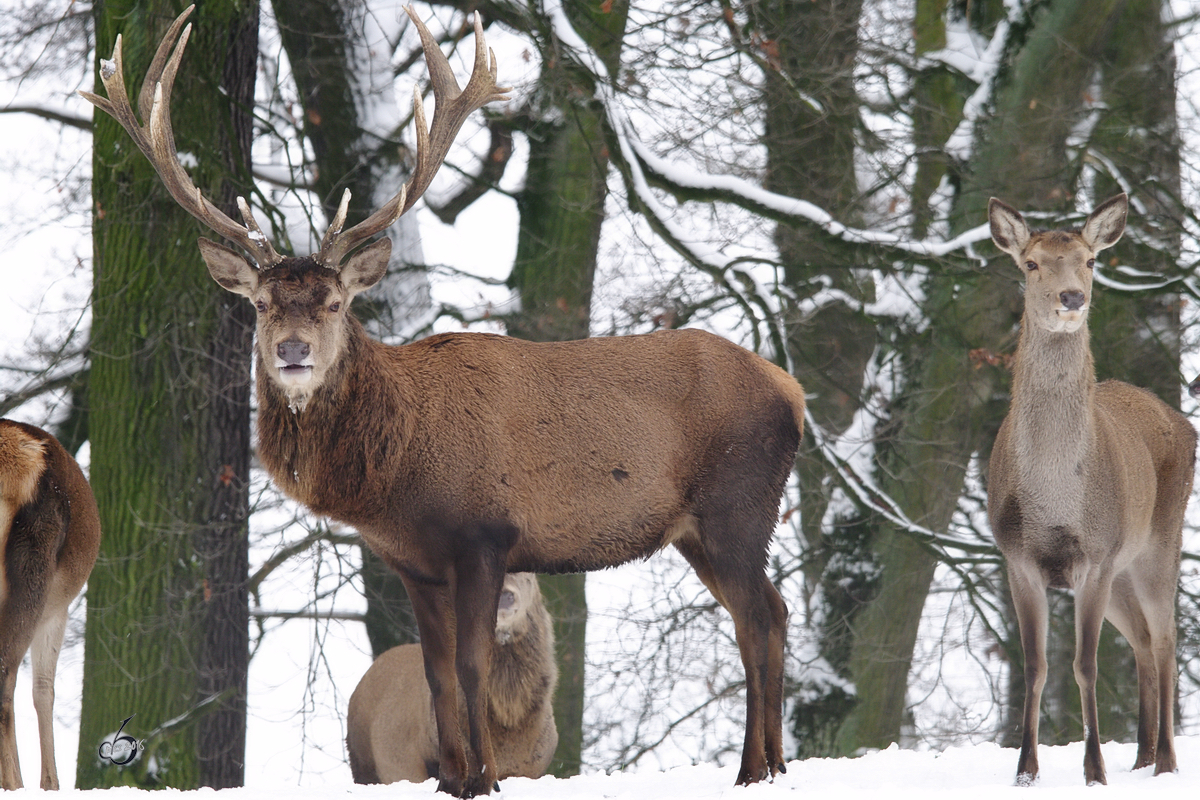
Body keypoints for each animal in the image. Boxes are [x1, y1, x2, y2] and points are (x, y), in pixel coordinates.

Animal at [0, 422, 102, 791]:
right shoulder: (57, 612)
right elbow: (45, 690)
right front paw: (50, 783)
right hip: (35, 572)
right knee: (6, 674)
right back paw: (14, 783)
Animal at [988, 195, 1195, 786]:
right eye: (1031, 263)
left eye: (1090, 260)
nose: (1071, 297)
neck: (1055, 496)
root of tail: (1183, 421)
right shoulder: (1017, 559)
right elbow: (1036, 666)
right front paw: (1025, 771)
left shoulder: (1095, 557)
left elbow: (1085, 664)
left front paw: (1095, 770)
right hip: (1123, 569)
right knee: (1143, 642)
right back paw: (1143, 755)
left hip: (1158, 543)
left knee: (1166, 638)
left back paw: (1166, 761)